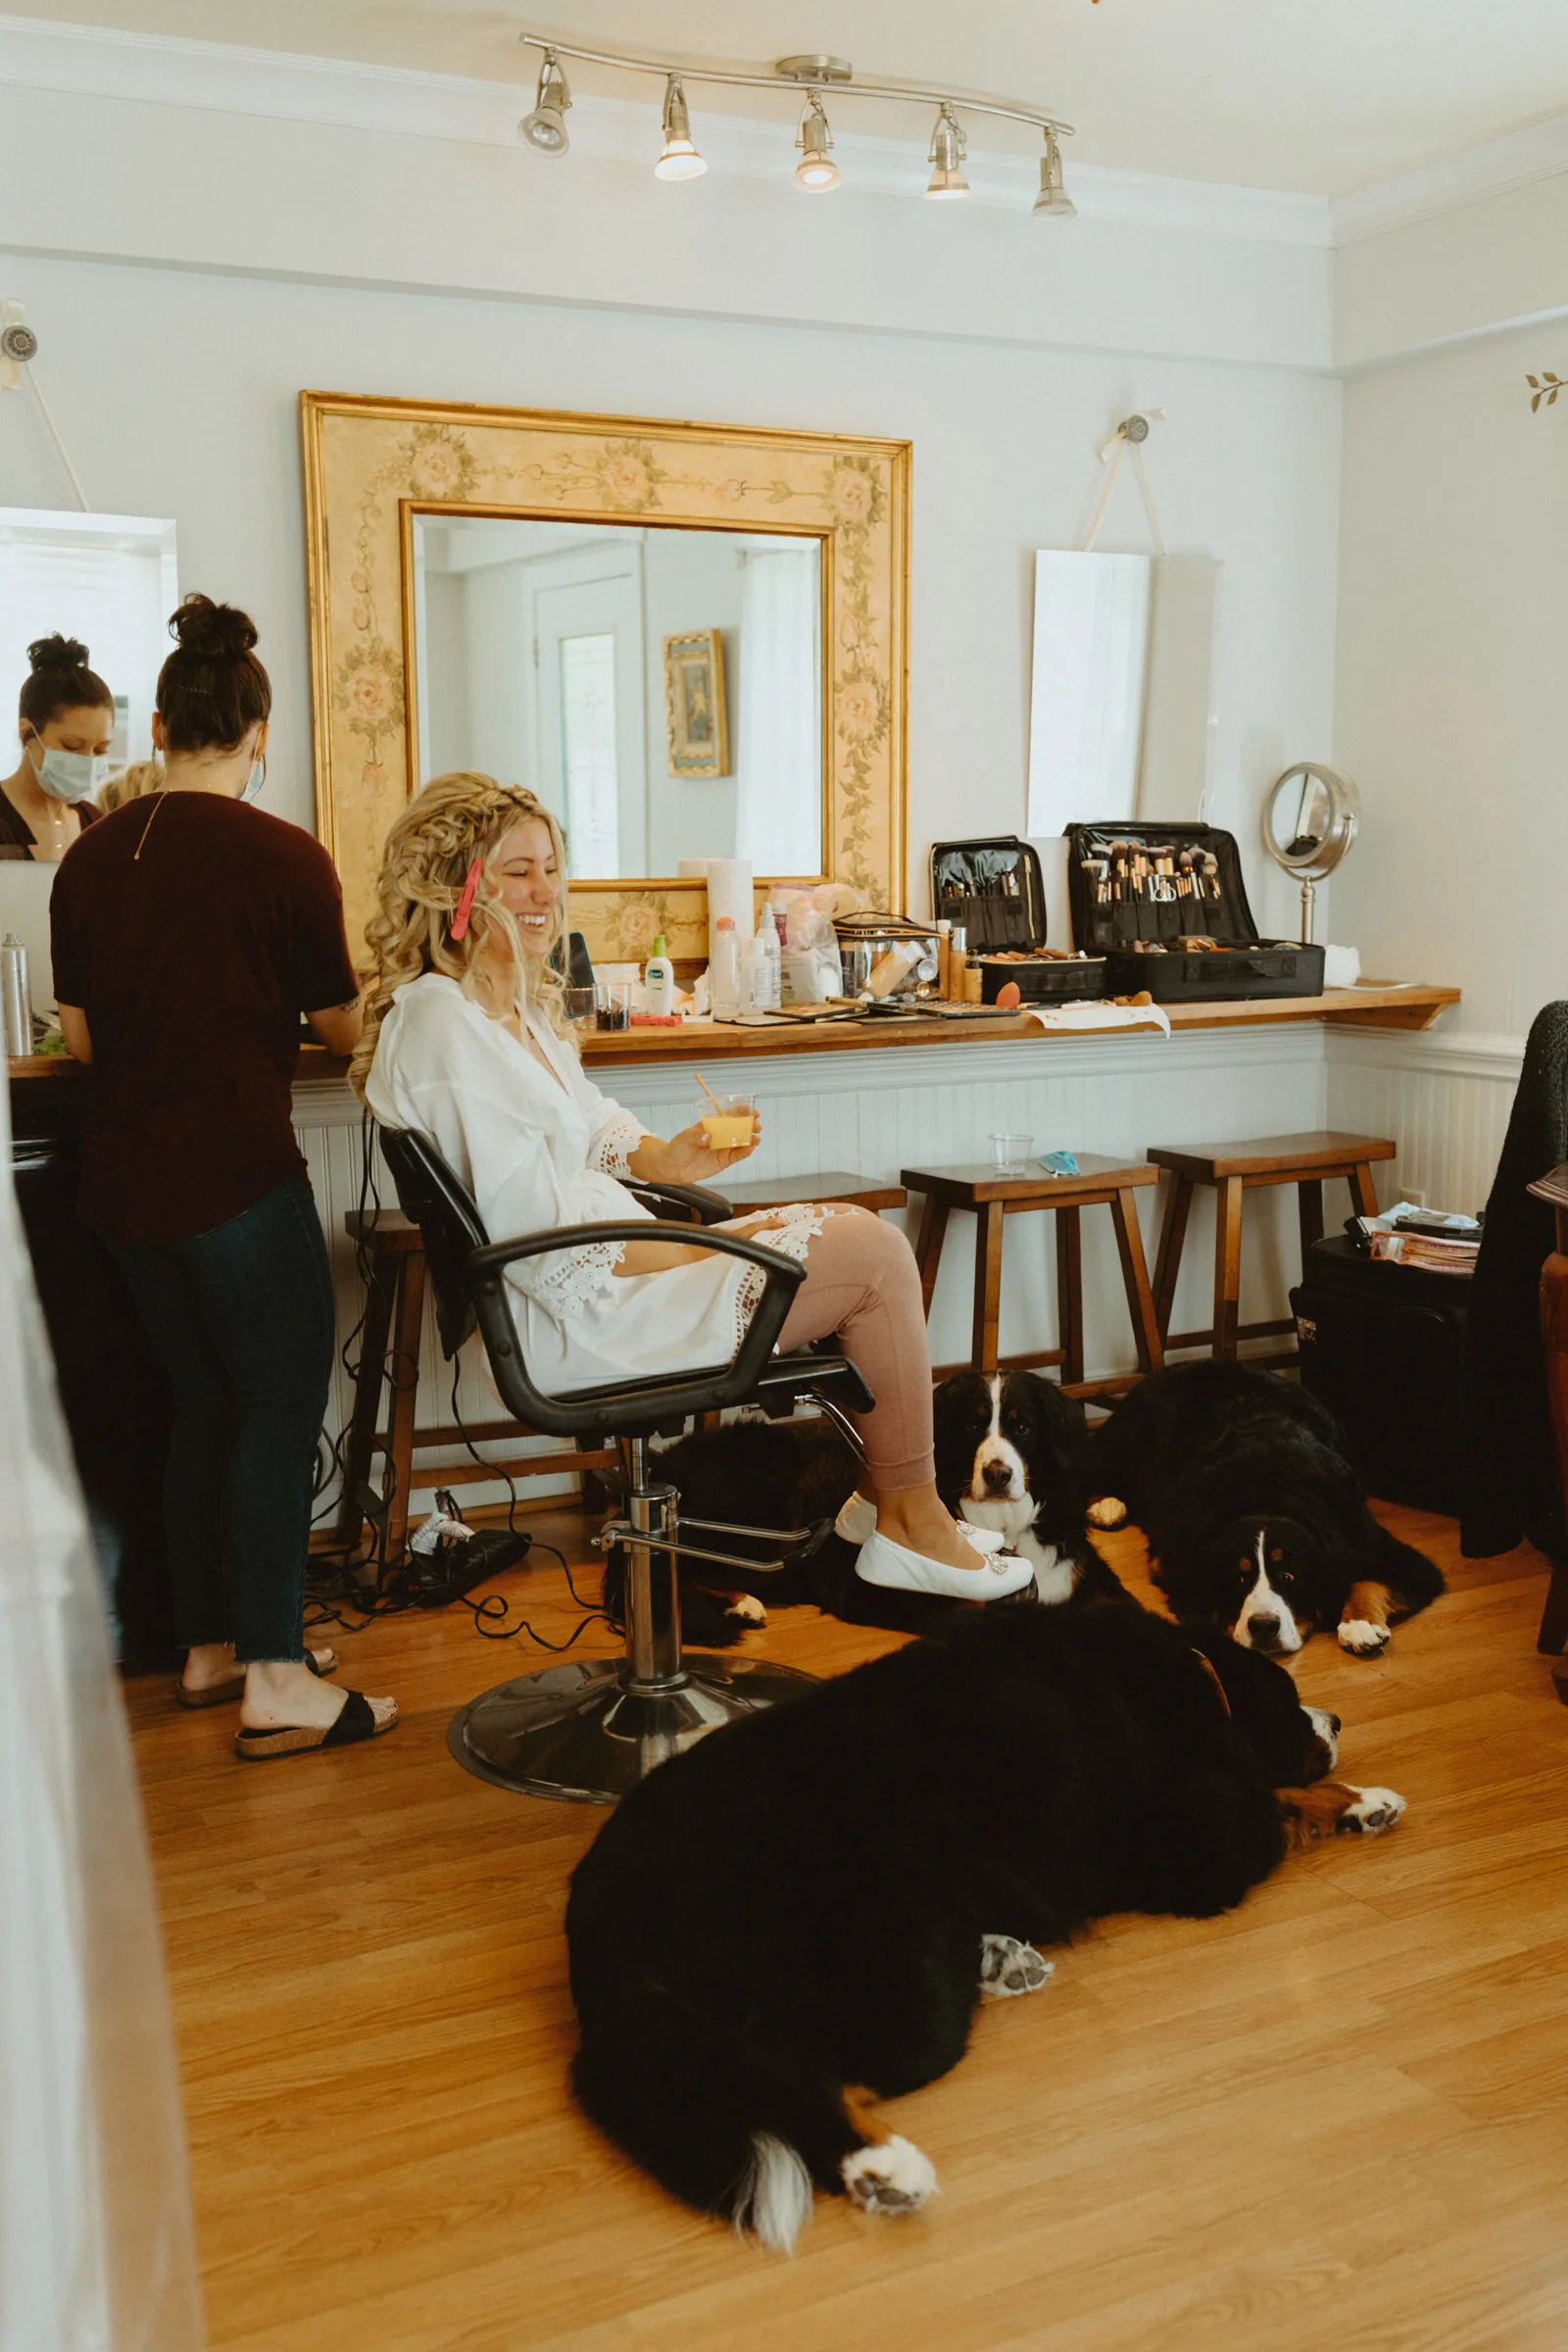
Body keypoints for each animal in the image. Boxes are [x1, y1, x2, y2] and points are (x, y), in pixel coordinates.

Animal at [566, 1608, 1410, 2248]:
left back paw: (1001, 1960)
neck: (1187, 1675)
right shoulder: (1193, 1844)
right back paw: (883, 2166)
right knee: (802, 2066)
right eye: (1291, 1697)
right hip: (893, 1970)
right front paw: (1354, 1796)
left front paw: (1364, 1802)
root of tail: (606, 1915)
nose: (1336, 1717)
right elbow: (1271, 1805)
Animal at [602, 1373, 1114, 1646]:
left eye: (1022, 1427)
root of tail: (658, 1465)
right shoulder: (873, 1591)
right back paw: (740, 1604)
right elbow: (972, 1610)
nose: (998, 1474)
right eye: (972, 1427)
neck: (1002, 1527)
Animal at [1091, 1354, 1447, 1665]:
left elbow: (1368, 1581)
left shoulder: (1372, 1542)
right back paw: (1106, 1504)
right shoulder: (1172, 1553)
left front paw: (1360, 1625)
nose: (1263, 1626)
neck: (1267, 1491)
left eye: (1288, 1576)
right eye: (1238, 1578)